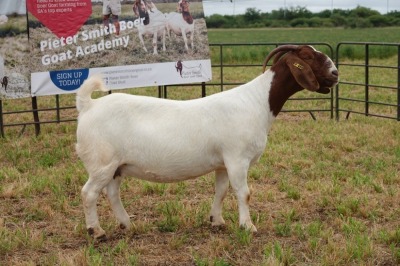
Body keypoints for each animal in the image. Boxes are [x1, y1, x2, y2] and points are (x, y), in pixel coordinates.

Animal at [75, 44, 338, 240]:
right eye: (307, 56)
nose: (335, 73)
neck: (257, 101)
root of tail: (89, 105)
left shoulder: (223, 163)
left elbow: (221, 191)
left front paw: (217, 221)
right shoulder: (237, 159)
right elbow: (244, 193)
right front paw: (248, 227)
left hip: (116, 166)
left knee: (112, 193)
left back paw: (127, 224)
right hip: (102, 163)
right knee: (89, 193)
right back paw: (97, 232)